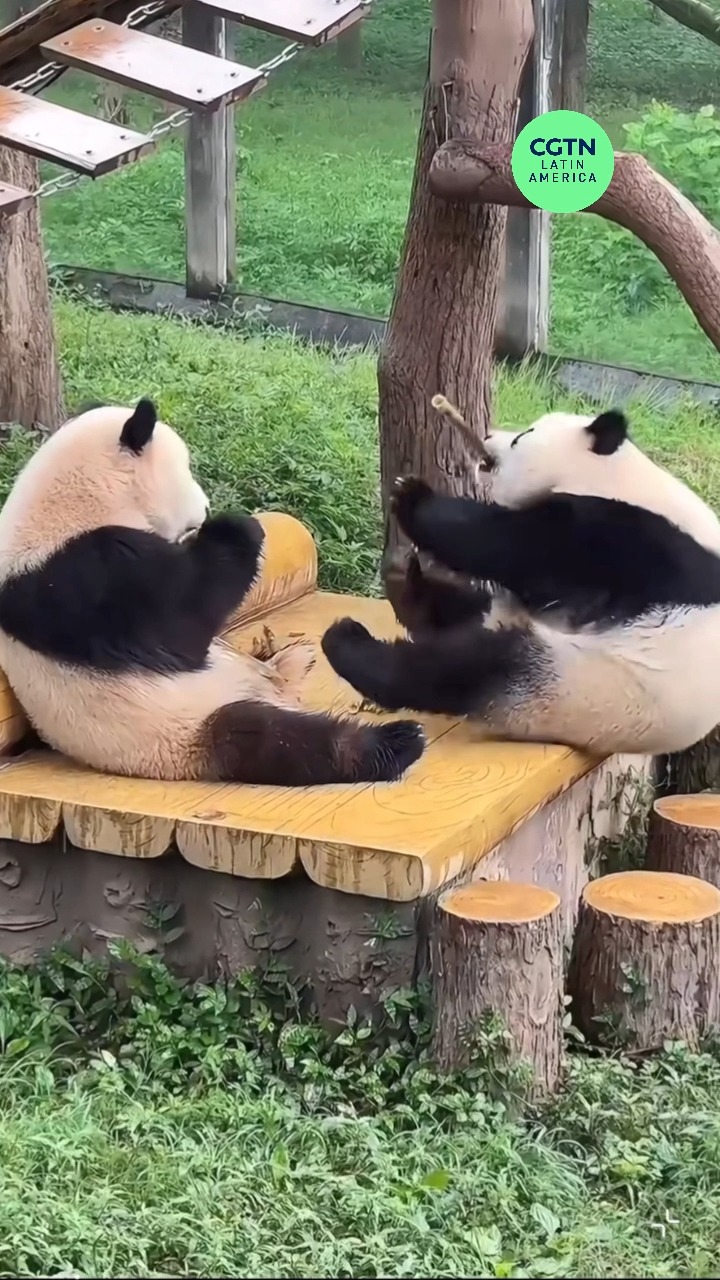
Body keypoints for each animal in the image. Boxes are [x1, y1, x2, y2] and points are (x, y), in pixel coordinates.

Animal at [0, 400, 425, 787]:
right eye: (187, 471)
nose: (204, 507)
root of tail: (274, 690)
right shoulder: (92, 578)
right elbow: (180, 622)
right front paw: (238, 528)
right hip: (185, 727)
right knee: (275, 740)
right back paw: (394, 743)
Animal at [321, 408, 720, 757]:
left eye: (522, 436)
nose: (487, 437)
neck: (621, 476)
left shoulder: (632, 540)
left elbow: (515, 545)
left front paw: (412, 497)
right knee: (464, 611)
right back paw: (408, 593)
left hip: (576, 681)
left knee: (464, 667)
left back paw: (349, 642)